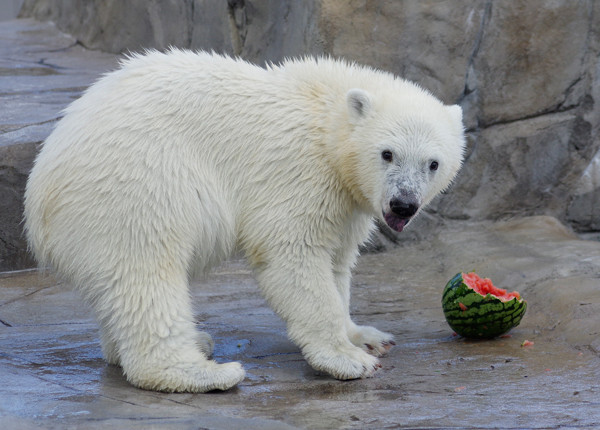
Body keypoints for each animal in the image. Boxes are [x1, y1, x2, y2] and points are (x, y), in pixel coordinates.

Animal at [23, 50, 466, 394]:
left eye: (433, 163)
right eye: (387, 153)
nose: (403, 204)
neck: (326, 114)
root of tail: (39, 199)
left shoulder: (346, 200)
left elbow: (338, 263)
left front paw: (368, 337)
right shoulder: (299, 171)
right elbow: (293, 254)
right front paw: (348, 360)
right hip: (131, 185)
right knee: (145, 272)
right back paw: (203, 371)